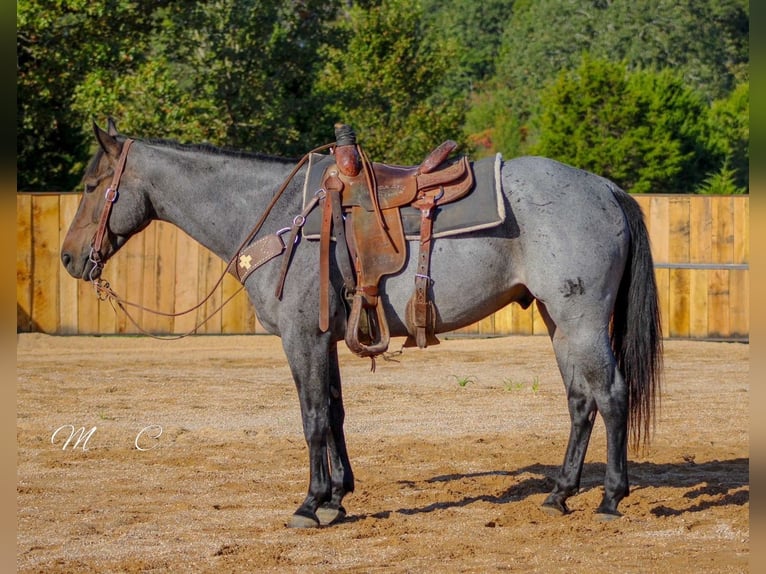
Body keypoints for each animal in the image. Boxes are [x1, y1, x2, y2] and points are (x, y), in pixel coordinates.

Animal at [61, 121, 661, 528]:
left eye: (92, 186)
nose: (68, 259)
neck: (280, 217)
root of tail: (605, 188)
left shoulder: (301, 337)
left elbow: (311, 418)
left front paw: (310, 504)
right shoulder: (325, 337)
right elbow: (335, 412)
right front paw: (337, 496)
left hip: (582, 321)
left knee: (611, 395)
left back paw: (611, 497)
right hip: (558, 322)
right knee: (580, 401)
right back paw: (559, 494)